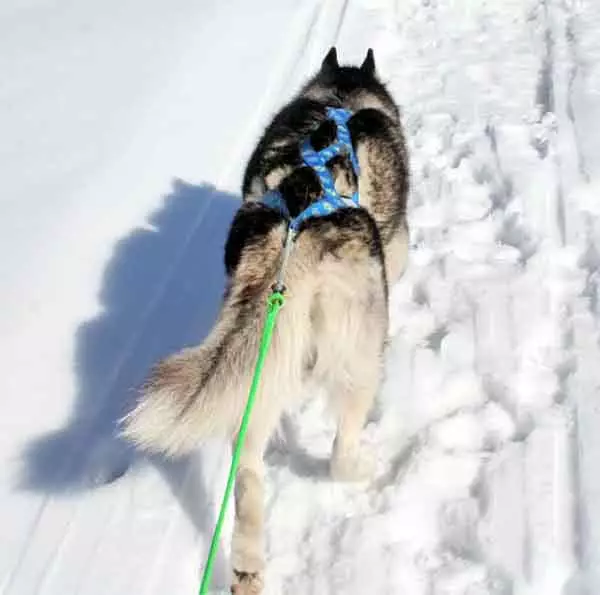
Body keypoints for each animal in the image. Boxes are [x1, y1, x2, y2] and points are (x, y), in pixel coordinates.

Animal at [123, 47, 412, 595]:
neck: (341, 96)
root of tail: (294, 225)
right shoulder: (396, 244)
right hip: (359, 356)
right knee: (340, 449)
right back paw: (361, 466)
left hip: (254, 377)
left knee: (250, 476)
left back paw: (247, 569)